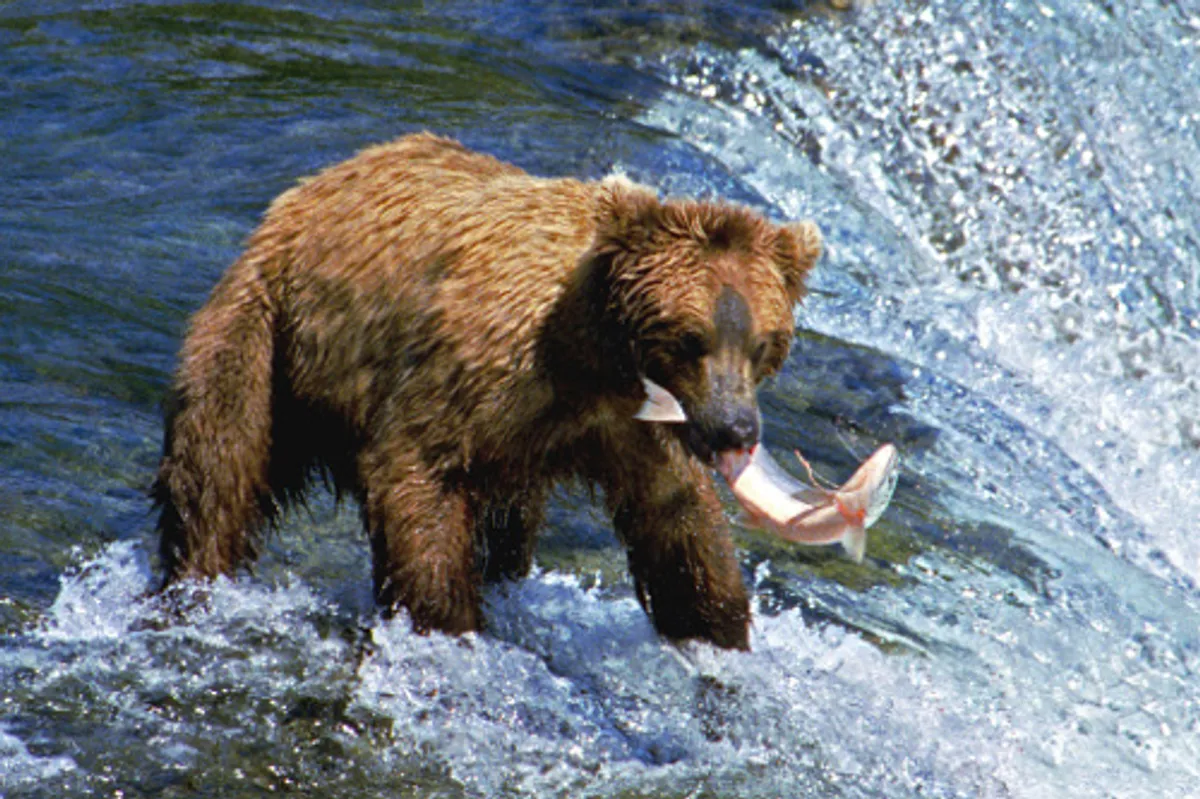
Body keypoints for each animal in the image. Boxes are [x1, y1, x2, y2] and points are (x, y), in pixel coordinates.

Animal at [153, 132, 822, 650]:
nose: (736, 429)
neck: (591, 358)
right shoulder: (470, 375)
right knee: (214, 468)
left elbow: (679, 520)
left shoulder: (627, 427)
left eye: (763, 343)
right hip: (264, 333)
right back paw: (193, 576)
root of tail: (306, 190)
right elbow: (417, 473)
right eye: (690, 338)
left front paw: (718, 627)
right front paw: (449, 620)